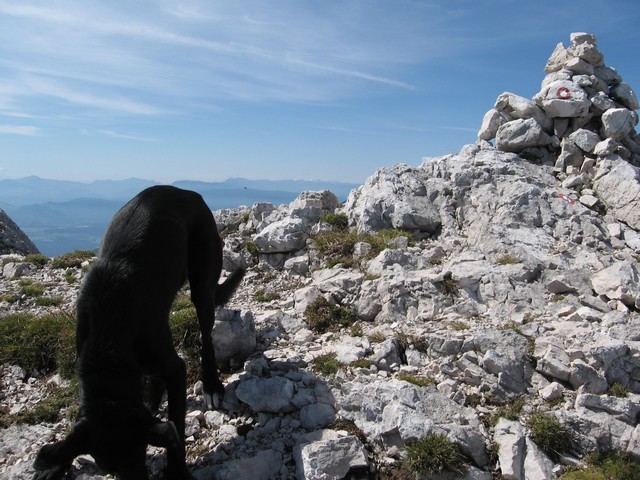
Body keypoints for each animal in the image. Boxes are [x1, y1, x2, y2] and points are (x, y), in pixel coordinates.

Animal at [31, 186, 245, 478]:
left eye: (139, 455)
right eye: (110, 469)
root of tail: (188, 192)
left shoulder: (175, 371)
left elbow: (176, 430)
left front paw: (177, 472)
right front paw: (55, 464)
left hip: (202, 281)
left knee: (206, 335)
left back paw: (211, 384)